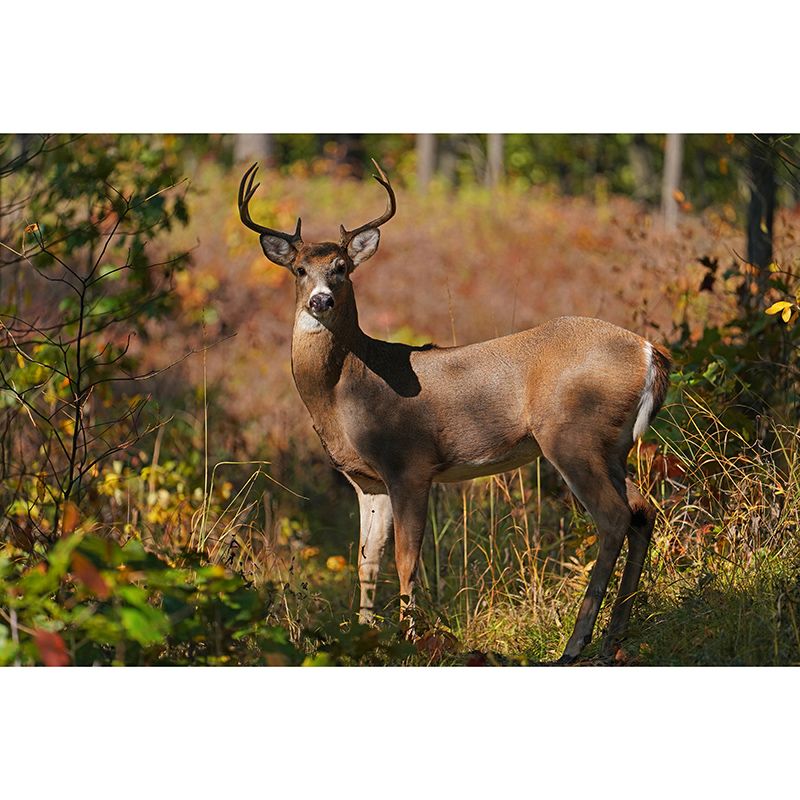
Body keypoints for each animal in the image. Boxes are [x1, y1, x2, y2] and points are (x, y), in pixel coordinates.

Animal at [237, 159, 671, 664]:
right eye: (300, 269)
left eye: (342, 268)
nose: (320, 299)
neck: (346, 391)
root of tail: (650, 353)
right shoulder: (367, 481)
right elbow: (367, 562)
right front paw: (364, 637)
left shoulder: (409, 463)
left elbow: (406, 560)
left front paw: (407, 639)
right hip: (611, 447)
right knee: (642, 509)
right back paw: (613, 636)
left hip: (572, 435)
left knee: (615, 517)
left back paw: (575, 644)